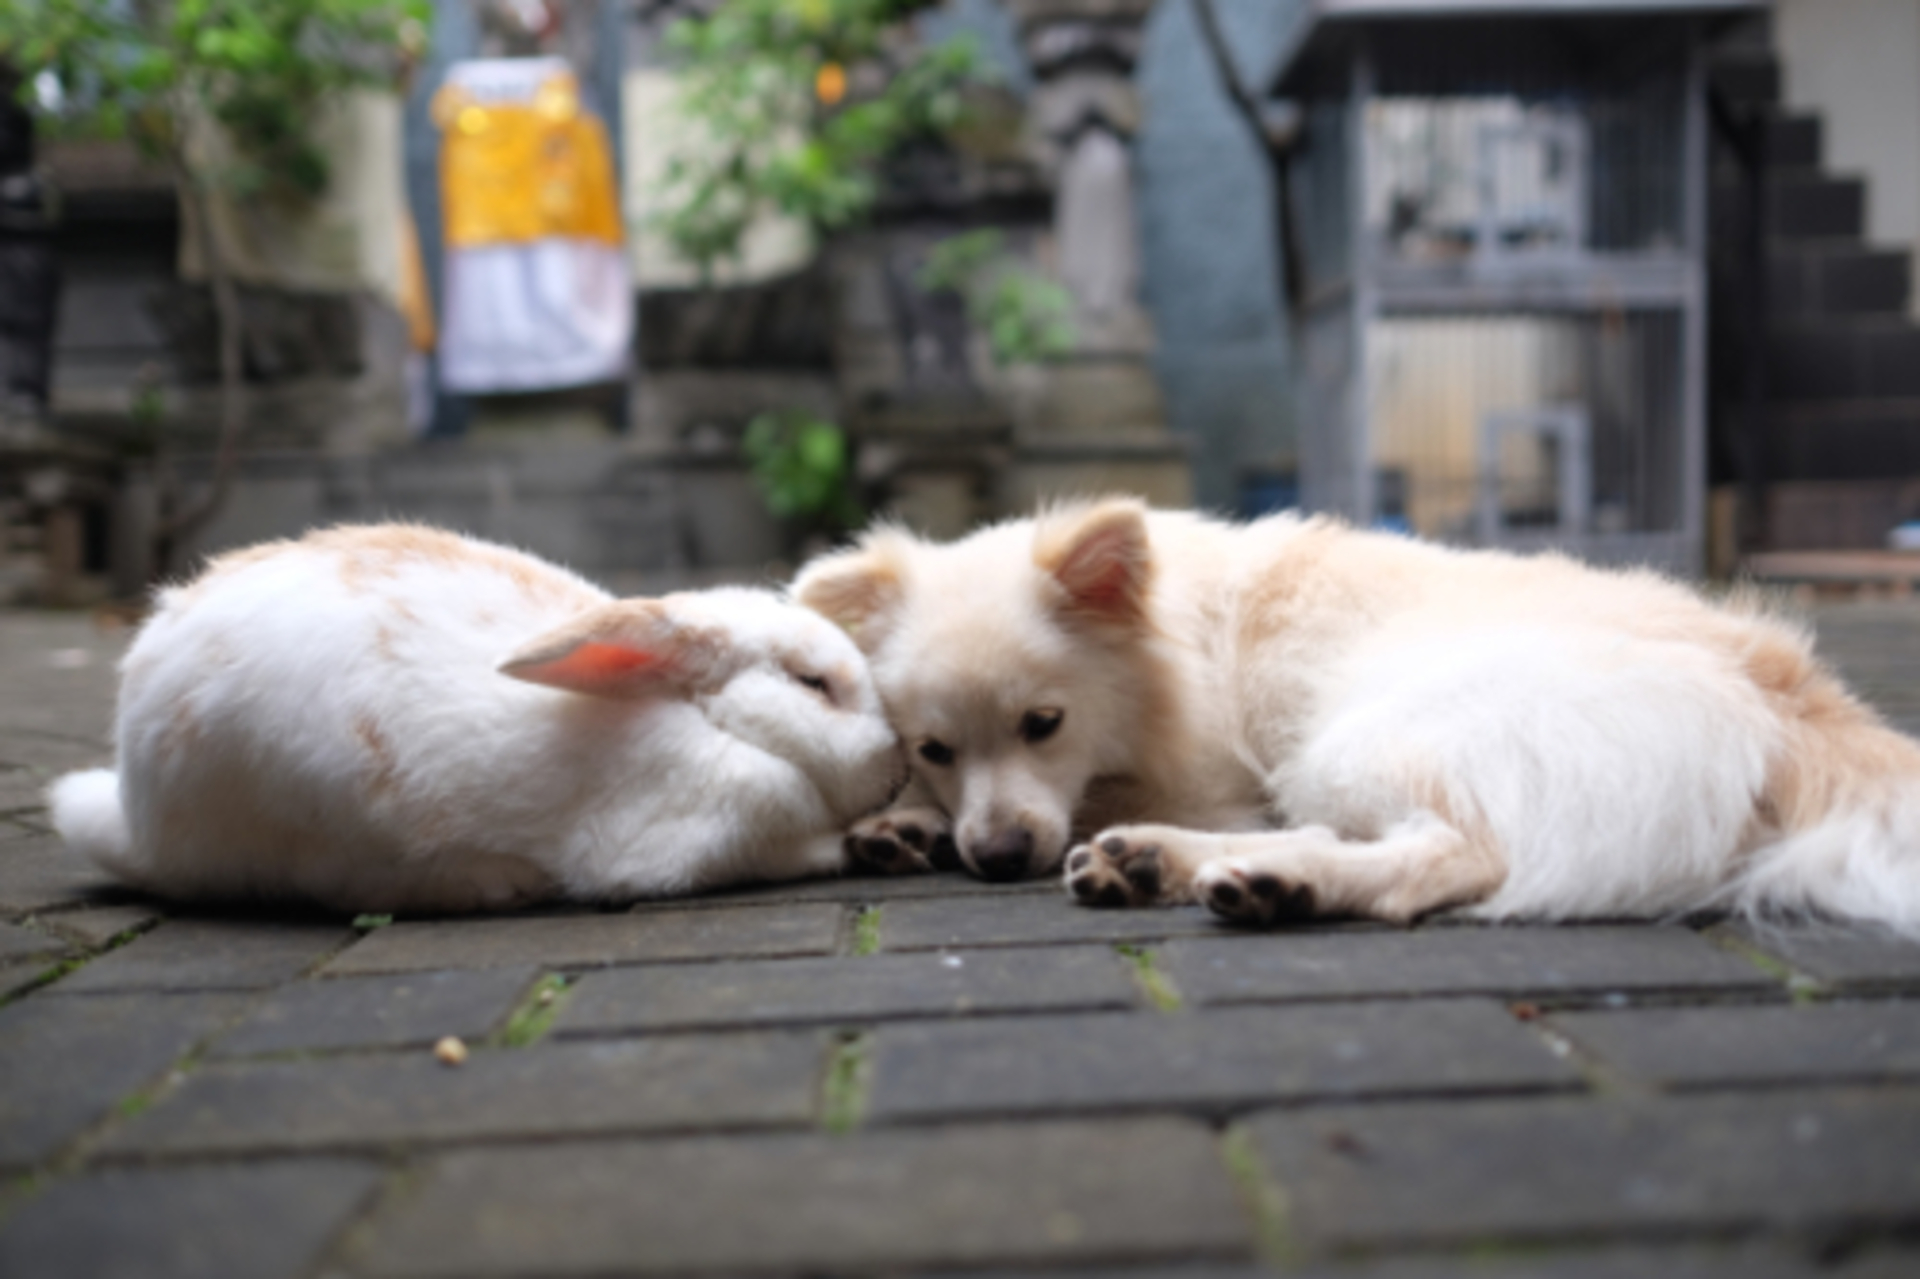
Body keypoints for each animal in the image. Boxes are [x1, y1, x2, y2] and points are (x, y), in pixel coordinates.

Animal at [48, 524, 906, 913]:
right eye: (813, 683)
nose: (895, 762)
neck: (706, 719)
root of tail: (131, 808)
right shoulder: (697, 834)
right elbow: (800, 845)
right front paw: (867, 843)